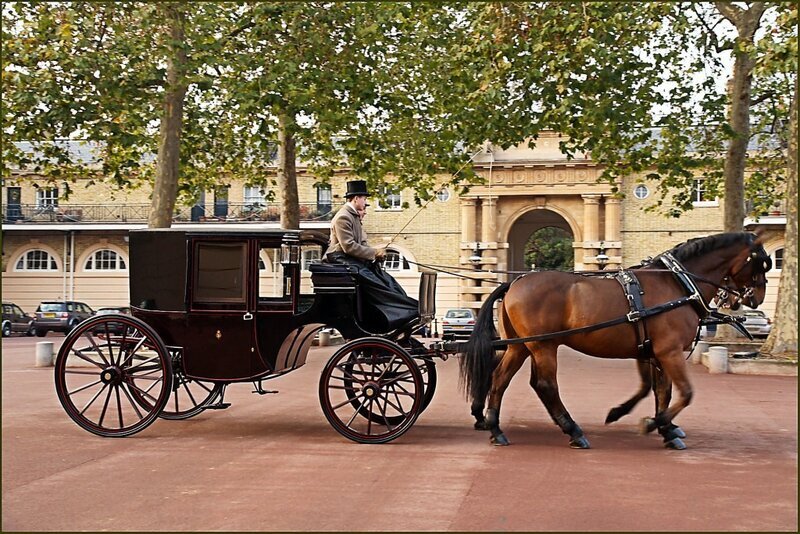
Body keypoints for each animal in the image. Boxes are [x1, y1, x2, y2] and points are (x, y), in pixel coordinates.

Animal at [460, 234, 772, 452]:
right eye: (761, 262)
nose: (756, 298)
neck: (677, 285)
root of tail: (516, 282)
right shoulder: (668, 352)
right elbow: (684, 393)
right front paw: (656, 423)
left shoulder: (653, 353)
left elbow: (660, 391)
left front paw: (665, 427)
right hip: (543, 346)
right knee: (545, 385)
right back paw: (573, 431)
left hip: (521, 346)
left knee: (500, 379)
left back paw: (495, 428)